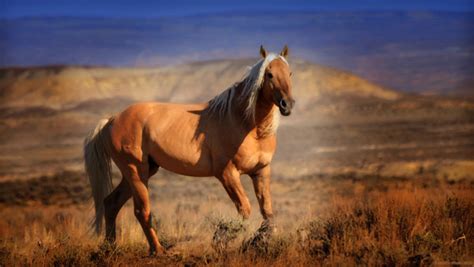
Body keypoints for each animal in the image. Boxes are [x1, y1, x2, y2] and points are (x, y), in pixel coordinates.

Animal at [83, 45, 294, 255]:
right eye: (269, 74)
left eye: (290, 73)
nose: (287, 105)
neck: (246, 124)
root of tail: (112, 120)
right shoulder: (227, 174)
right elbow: (245, 210)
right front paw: (224, 239)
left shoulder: (261, 171)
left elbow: (268, 213)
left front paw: (258, 241)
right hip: (135, 171)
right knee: (142, 211)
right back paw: (158, 250)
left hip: (142, 171)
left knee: (112, 203)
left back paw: (110, 248)